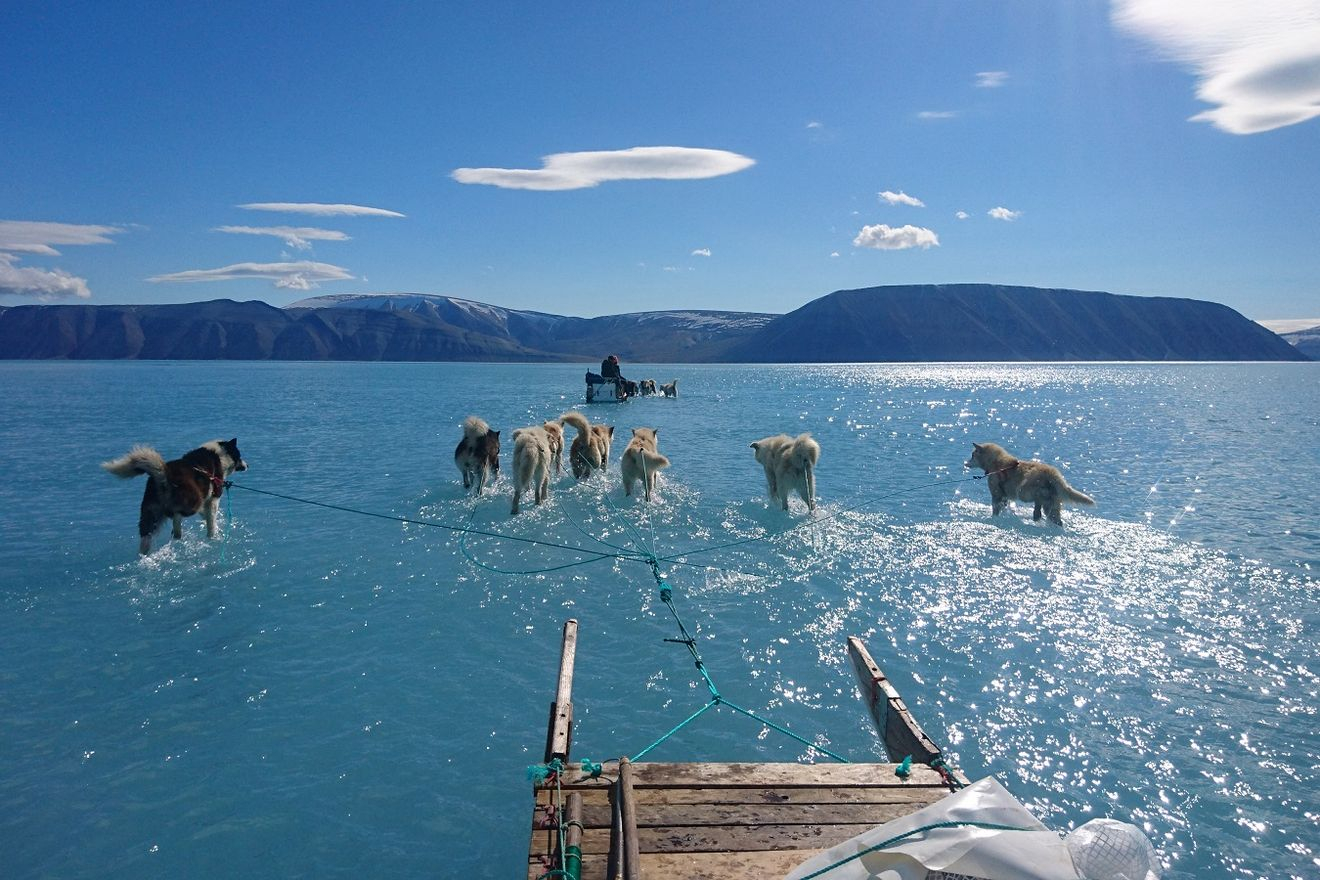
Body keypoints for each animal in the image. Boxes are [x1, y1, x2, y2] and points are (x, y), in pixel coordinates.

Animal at [101, 440, 248, 556]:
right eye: (239, 456)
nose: (247, 465)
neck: (219, 454)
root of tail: (164, 473)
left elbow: (205, 514)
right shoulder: (213, 498)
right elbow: (211, 521)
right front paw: (213, 535)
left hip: (150, 512)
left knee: (146, 535)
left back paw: (145, 553)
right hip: (192, 499)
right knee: (177, 515)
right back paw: (177, 532)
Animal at [966, 440, 1098, 522]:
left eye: (972, 455)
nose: (965, 463)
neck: (997, 464)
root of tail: (1053, 474)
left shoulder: (997, 494)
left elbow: (995, 509)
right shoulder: (1004, 496)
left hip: (1029, 492)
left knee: (1039, 504)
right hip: (1053, 503)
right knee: (1054, 517)